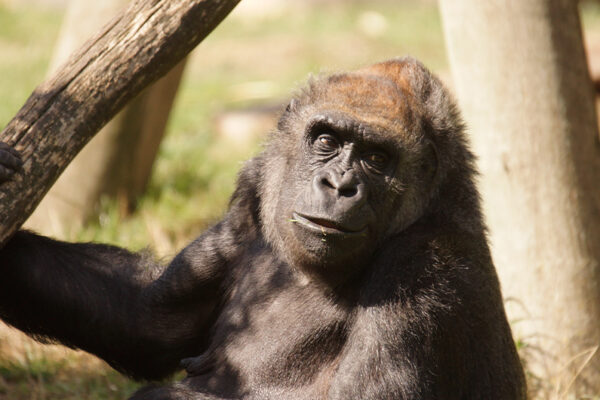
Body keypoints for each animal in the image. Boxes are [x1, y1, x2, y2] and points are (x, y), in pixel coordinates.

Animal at [0, 57, 524, 400]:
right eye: (326, 140)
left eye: (377, 159)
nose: (340, 185)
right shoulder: (251, 193)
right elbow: (147, 321)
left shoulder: (424, 262)